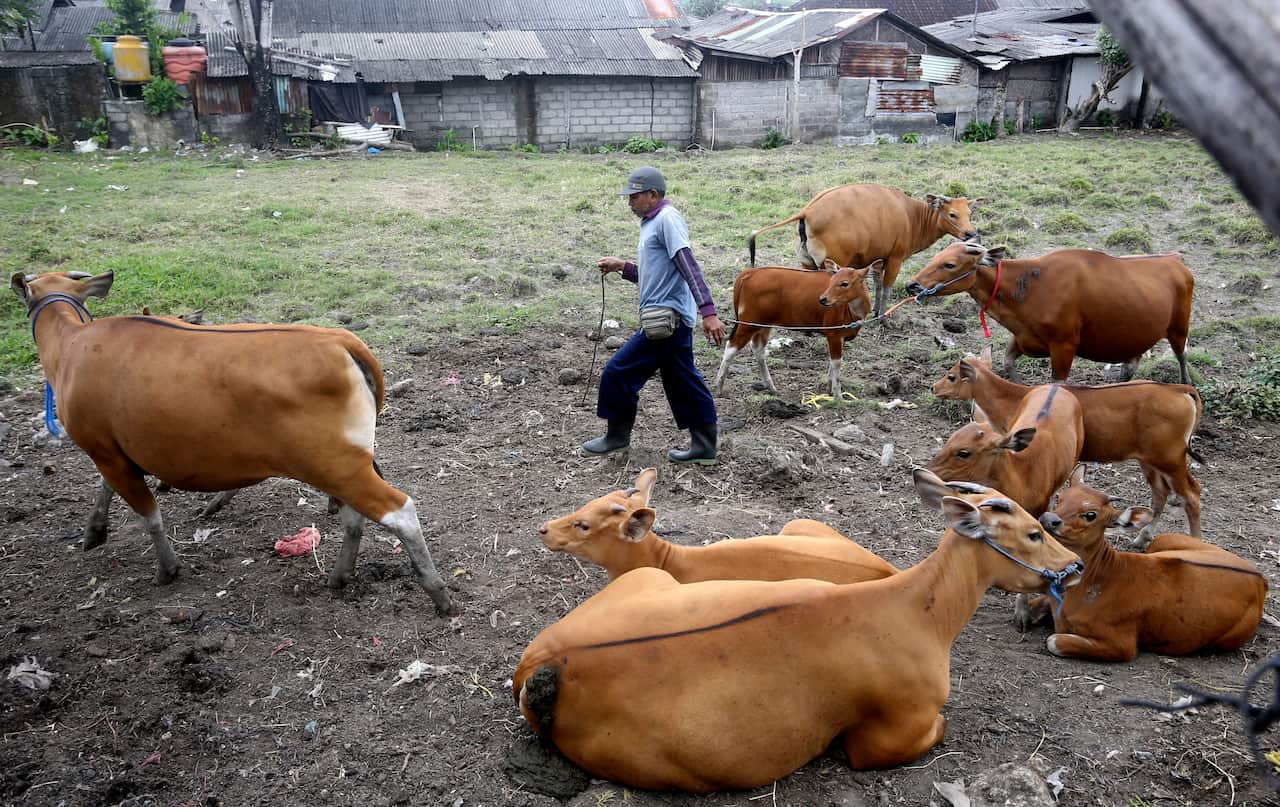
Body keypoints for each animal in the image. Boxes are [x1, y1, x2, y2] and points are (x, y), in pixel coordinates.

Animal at [10, 270, 454, 614]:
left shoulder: (104, 450)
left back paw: (437, 593)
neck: (73, 345)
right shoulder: (115, 452)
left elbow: (148, 514)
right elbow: (108, 490)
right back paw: (339, 576)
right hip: (340, 465)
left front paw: (167, 568)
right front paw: (95, 530)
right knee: (354, 517)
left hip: (337, 463)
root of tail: (340, 341)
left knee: (400, 511)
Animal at [713, 259, 875, 402]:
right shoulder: (833, 334)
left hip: (763, 325)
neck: (852, 311)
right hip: (749, 324)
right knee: (731, 348)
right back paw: (718, 387)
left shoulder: (840, 337)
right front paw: (838, 396)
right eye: (832, 281)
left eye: (844, 283)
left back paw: (771, 387)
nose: (823, 299)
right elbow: (836, 364)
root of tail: (750, 272)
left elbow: (833, 362)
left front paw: (830, 389)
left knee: (758, 349)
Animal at [747, 184, 979, 316]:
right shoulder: (895, 258)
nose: (970, 234)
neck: (911, 216)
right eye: (952, 214)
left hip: (806, 263)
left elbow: (877, 283)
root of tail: (807, 211)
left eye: (969, 213)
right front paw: (883, 316)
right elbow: (886, 286)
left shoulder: (877, 260)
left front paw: (875, 309)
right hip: (832, 264)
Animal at [905, 241, 1195, 384]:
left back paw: (1187, 385)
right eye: (935, 256)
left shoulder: (1064, 346)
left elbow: (1057, 383)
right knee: (1131, 365)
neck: (1031, 286)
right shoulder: (1022, 338)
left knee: (1181, 356)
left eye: (950, 264)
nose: (911, 285)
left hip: (1179, 328)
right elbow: (1008, 363)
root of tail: (1175, 259)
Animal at [1015, 466, 1266, 662]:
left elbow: (1054, 640)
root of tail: (1261, 579)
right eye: (1061, 497)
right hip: (1164, 539)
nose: (1048, 519)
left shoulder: (1122, 644)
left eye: (1090, 514)